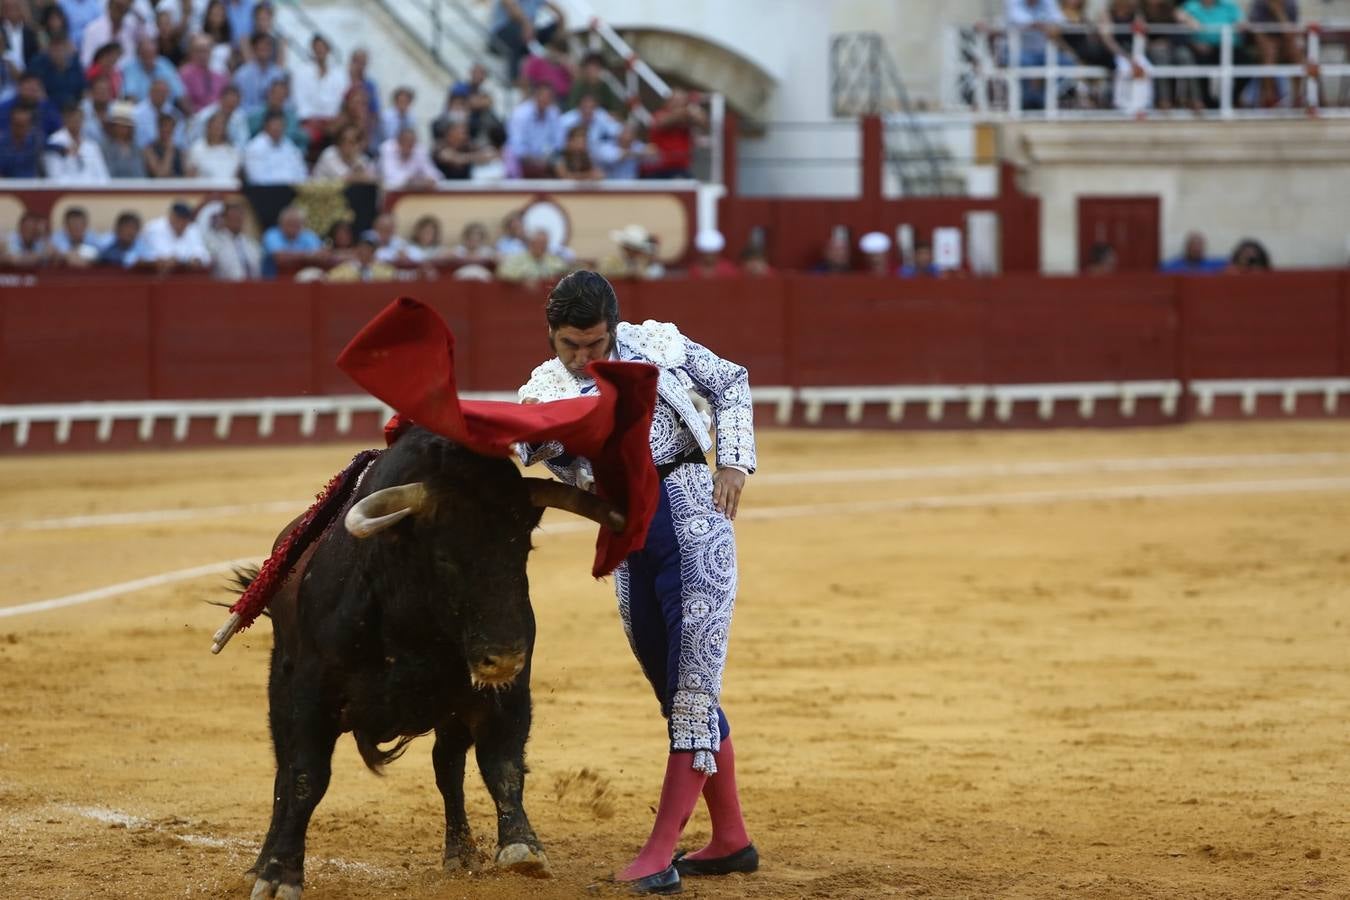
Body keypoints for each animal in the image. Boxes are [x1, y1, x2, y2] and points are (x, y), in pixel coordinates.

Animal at [241, 423, 621, 900]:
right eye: (444, 557)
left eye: (523, 548)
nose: (504, 657)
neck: (412, 625)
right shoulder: (313, 694)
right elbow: (307, 777)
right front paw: (280, 875)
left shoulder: (506, 695)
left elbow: (503, 763)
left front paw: (522, 847)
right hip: (281, 688)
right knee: (284, 773)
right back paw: (261, 862)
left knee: (448, 767)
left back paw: (461, 853)